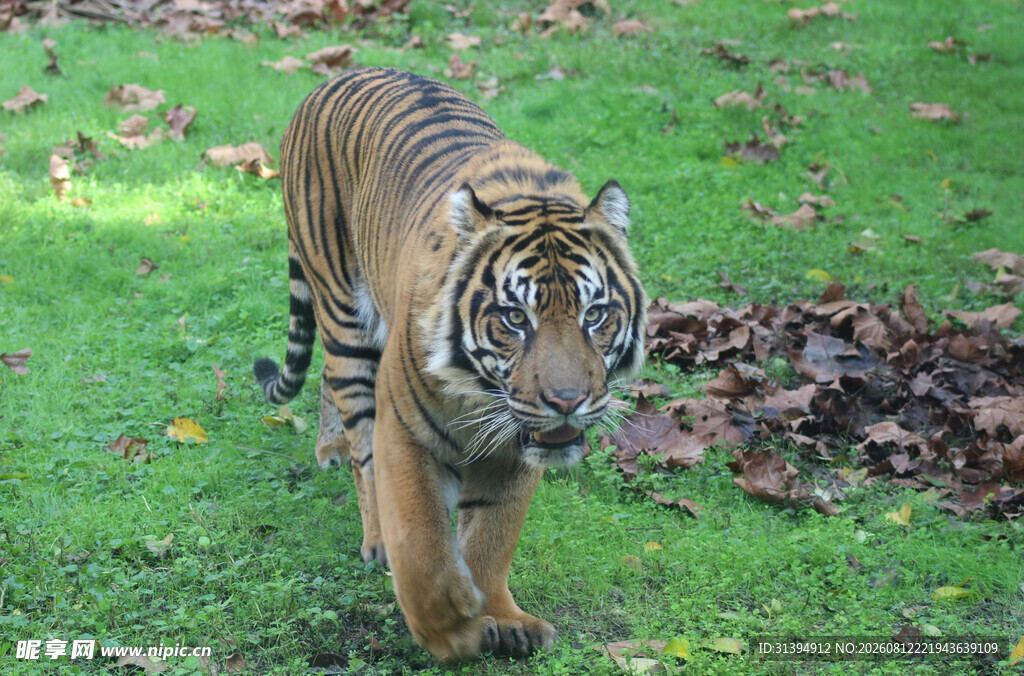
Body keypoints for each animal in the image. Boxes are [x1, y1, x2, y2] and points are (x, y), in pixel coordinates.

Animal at [253, 67, 647, 662]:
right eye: (514, 318)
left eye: (595, 314)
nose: (567, 402)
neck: (479, 393)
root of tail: (335, 77)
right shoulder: (404, 431)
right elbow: (420, 538)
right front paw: (447, 624)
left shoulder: (516, 447)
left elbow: (492, 534)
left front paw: (500, 617)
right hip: (344, 315)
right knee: (359, 439)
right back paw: (370, 528)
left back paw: (328, 448)